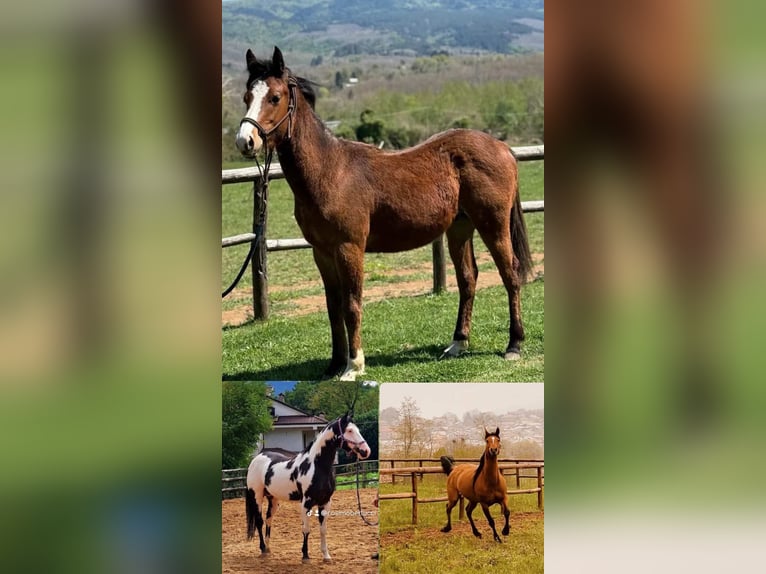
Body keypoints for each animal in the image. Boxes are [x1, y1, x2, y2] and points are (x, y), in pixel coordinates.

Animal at [235, 46, 534, 381]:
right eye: (247, 96)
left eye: (275, 97)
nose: (245, 141)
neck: (331, 171)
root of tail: (502, 147)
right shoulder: (322, 252)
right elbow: (332, 307)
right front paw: (334, 365)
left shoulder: (349, 248)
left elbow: (352, 305)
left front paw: (354, 366)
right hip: (460, 228)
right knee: (468, 278)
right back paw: (458, 343)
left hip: (493, 224)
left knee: (510, 274)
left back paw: (514, 345)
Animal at [245, 413, 370, 563]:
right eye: (350, 430)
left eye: (357, 429)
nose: (366, 451)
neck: (317, 467)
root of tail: (257, 458)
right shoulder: (306, 503)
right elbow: (306, 529)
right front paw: (305, 555)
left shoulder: (325, 502)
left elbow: (323, 529)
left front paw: (326, 556)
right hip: (257, 496)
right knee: (259, 521)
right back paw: (263, 549)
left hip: (273, 499)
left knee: (268, 519)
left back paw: (268, 548)